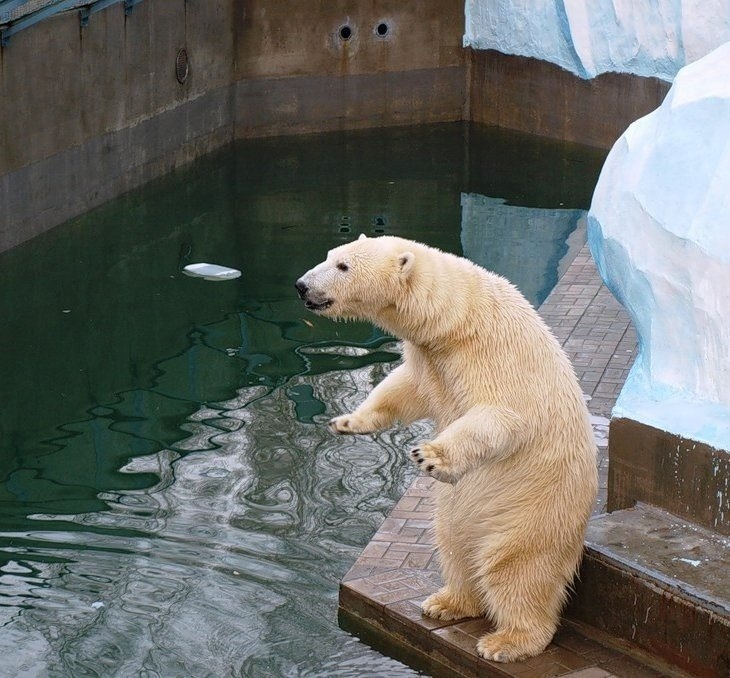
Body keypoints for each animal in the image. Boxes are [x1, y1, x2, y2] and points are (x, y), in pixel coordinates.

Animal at [292, 235, 596, 664]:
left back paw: (506, 641)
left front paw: (430, 456)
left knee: (515, 569)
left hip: (534, 509)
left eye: (343, 266)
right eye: (331, 256)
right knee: (455, 547)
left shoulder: (496, 355)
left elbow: (501, 416)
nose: (302, 285)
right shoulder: (430, 358)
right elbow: (405, 389)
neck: (458, 319)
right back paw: (447, 602)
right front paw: (348, 421)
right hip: (460, 515)